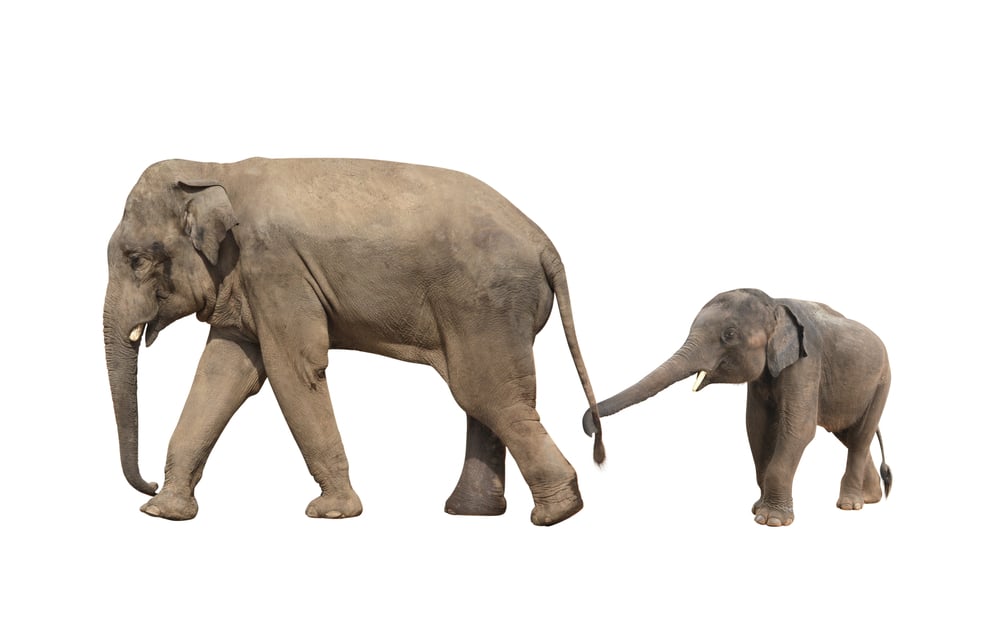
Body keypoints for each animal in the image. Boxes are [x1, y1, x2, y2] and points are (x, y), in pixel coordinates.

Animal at [104, 157, 605, 526]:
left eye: (136, 259)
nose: (147, 484)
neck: (213, 168)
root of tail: (545, 244)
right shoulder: (244, 285)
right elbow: (223, 373)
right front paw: (162, 512)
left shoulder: (276, 269)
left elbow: (293, 369)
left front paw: (331, 513)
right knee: (486, 399)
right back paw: (473, 513)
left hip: (486, 305)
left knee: (488, 395)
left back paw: (556, 513)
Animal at [582, 288, 891, 526]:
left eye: (729, 334)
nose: (592, 429)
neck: (776, 304)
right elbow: (757, 428)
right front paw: (758, 508)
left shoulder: (806, 362)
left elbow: (798, 430)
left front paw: (771, 521)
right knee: (850, 436)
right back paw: (870, 498)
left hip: (883, 381)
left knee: (860, 437)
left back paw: (850, 505)